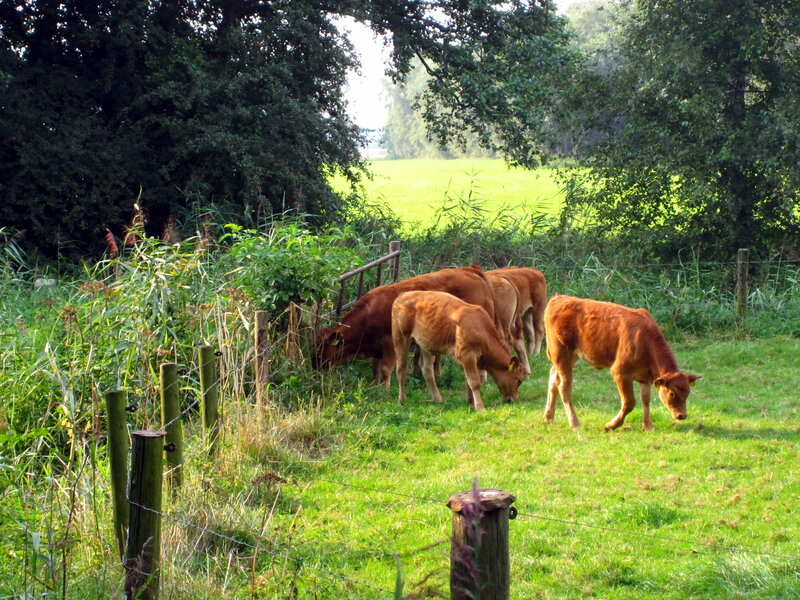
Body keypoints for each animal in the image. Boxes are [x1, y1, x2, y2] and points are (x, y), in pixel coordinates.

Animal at [312, 266, 499, 387]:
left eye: (322, 347)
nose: (314, 366)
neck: (368, 315)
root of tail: (469, 269)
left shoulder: (389, 342)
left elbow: (386, 368)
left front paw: (384, 391)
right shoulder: (376, 347)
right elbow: (375, 367)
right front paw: (375, 385)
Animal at [392, 291, 526, 411]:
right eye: (519, 380)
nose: (513, 399)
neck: (482, 330)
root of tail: (403, 295)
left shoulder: (468, 360)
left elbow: (468, 380)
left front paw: (470, 401)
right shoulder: (467, 355)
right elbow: (474, 381)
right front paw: (480, 407)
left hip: (426, 345)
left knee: (427, 370)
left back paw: (437, 399)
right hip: (401, 338)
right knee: (401, 369)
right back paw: (402, 400)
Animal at [543, 294, 700, 431]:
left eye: (687, 392)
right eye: (672, 393)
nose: (682, 415)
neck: (645, 341)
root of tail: (560, 298)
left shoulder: (646, 377)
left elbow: (646, 400)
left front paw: (648, 426)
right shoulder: (620, 373)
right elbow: (629, 402)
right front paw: (612, 425)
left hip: (570, 356)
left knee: (553, 377)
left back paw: (549, 417)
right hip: (561, 355)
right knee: (564, 387)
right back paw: (575, 423)